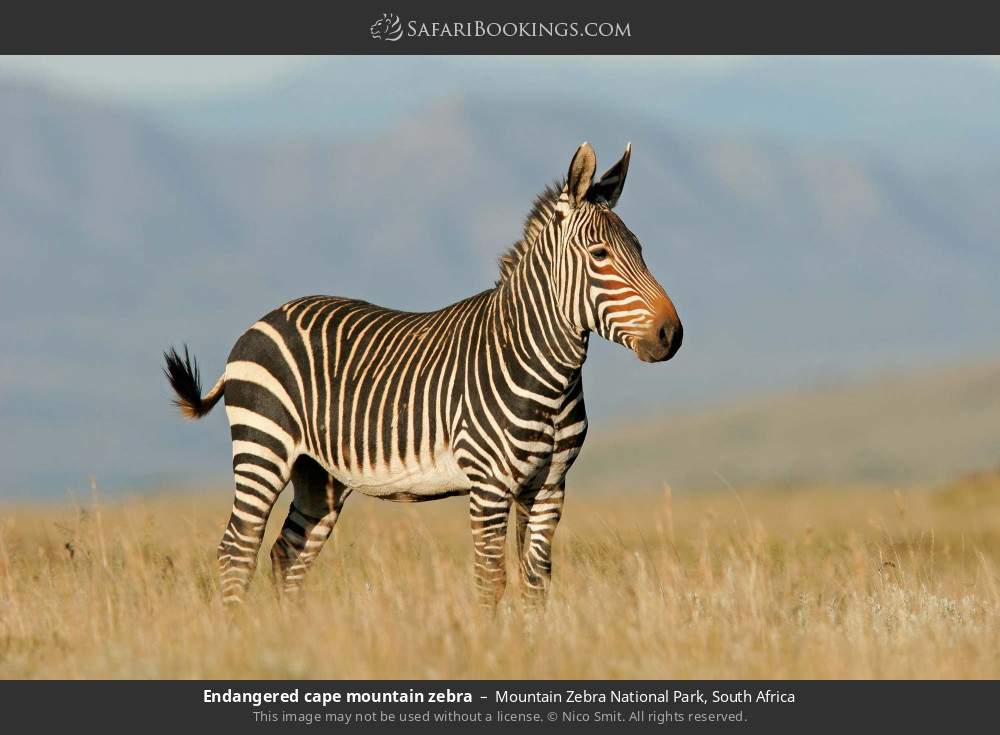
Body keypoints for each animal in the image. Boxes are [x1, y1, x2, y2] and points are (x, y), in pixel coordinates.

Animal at [164, 142, 682, 608]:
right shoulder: (489, 484)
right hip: (264, 447)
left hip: (318, 474)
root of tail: (261, 321)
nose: (672, 334)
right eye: (599, 255)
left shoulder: (550, 486)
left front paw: (530, 642)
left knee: (286, 555)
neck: (545, 373)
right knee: (237, 550)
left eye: (640, 249)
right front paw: (491, 645)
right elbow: (490, 582)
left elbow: (536, 583)